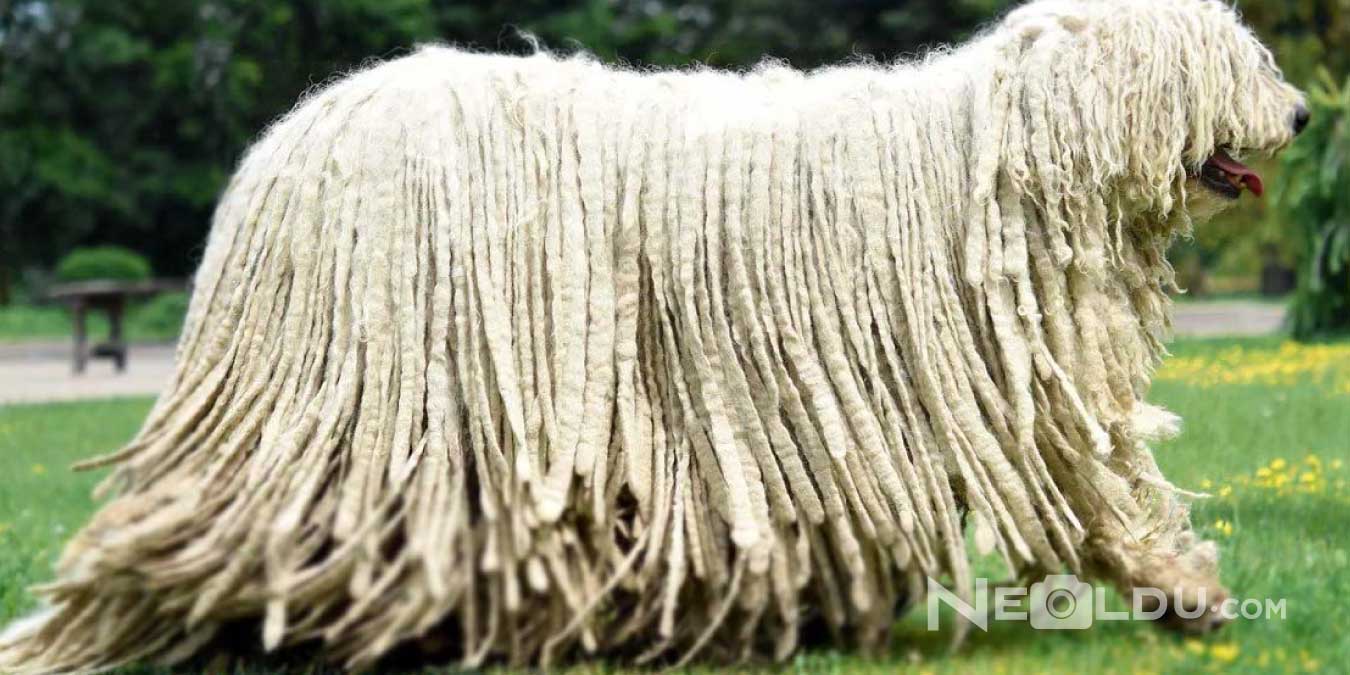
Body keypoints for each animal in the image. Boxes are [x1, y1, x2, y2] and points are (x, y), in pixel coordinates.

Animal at [0, 1, 1306, 669]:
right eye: (1232, 57)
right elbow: (1097, 479)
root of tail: (287, 152)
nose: (1300, 110)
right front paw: (1186, 590)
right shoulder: (1011, 383)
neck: (1002, 157)